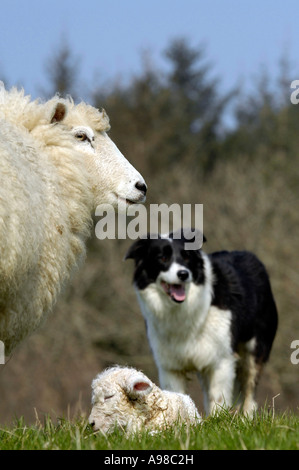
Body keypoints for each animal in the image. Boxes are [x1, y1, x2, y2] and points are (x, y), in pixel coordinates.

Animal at [125, 229, 278, 416]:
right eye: (162, 258)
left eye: (187, 257)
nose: (183, 274)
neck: (183, 310)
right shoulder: (170, 366)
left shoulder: (221, 359)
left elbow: (218, 399)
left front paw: (218, 420)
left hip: (254, 349)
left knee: (249, 390)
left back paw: (246, 418)